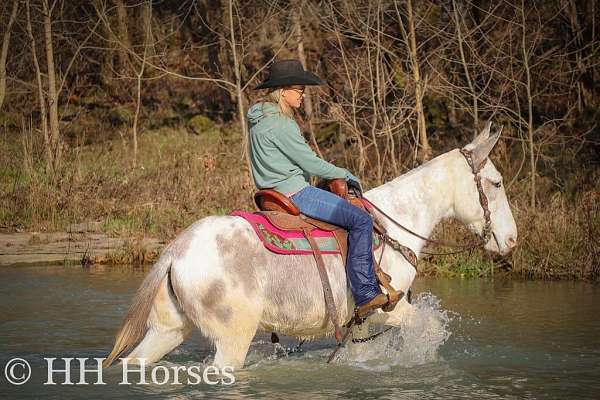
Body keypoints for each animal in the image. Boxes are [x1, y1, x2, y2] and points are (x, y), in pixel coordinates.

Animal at [102, 122, 516, 368]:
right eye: (496, 183)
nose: (511, 239)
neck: (396, 222)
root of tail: (176, 251)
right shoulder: (389, 309)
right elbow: (428, 328)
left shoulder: (358, 322)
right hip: (231, 339)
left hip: (167, 331)